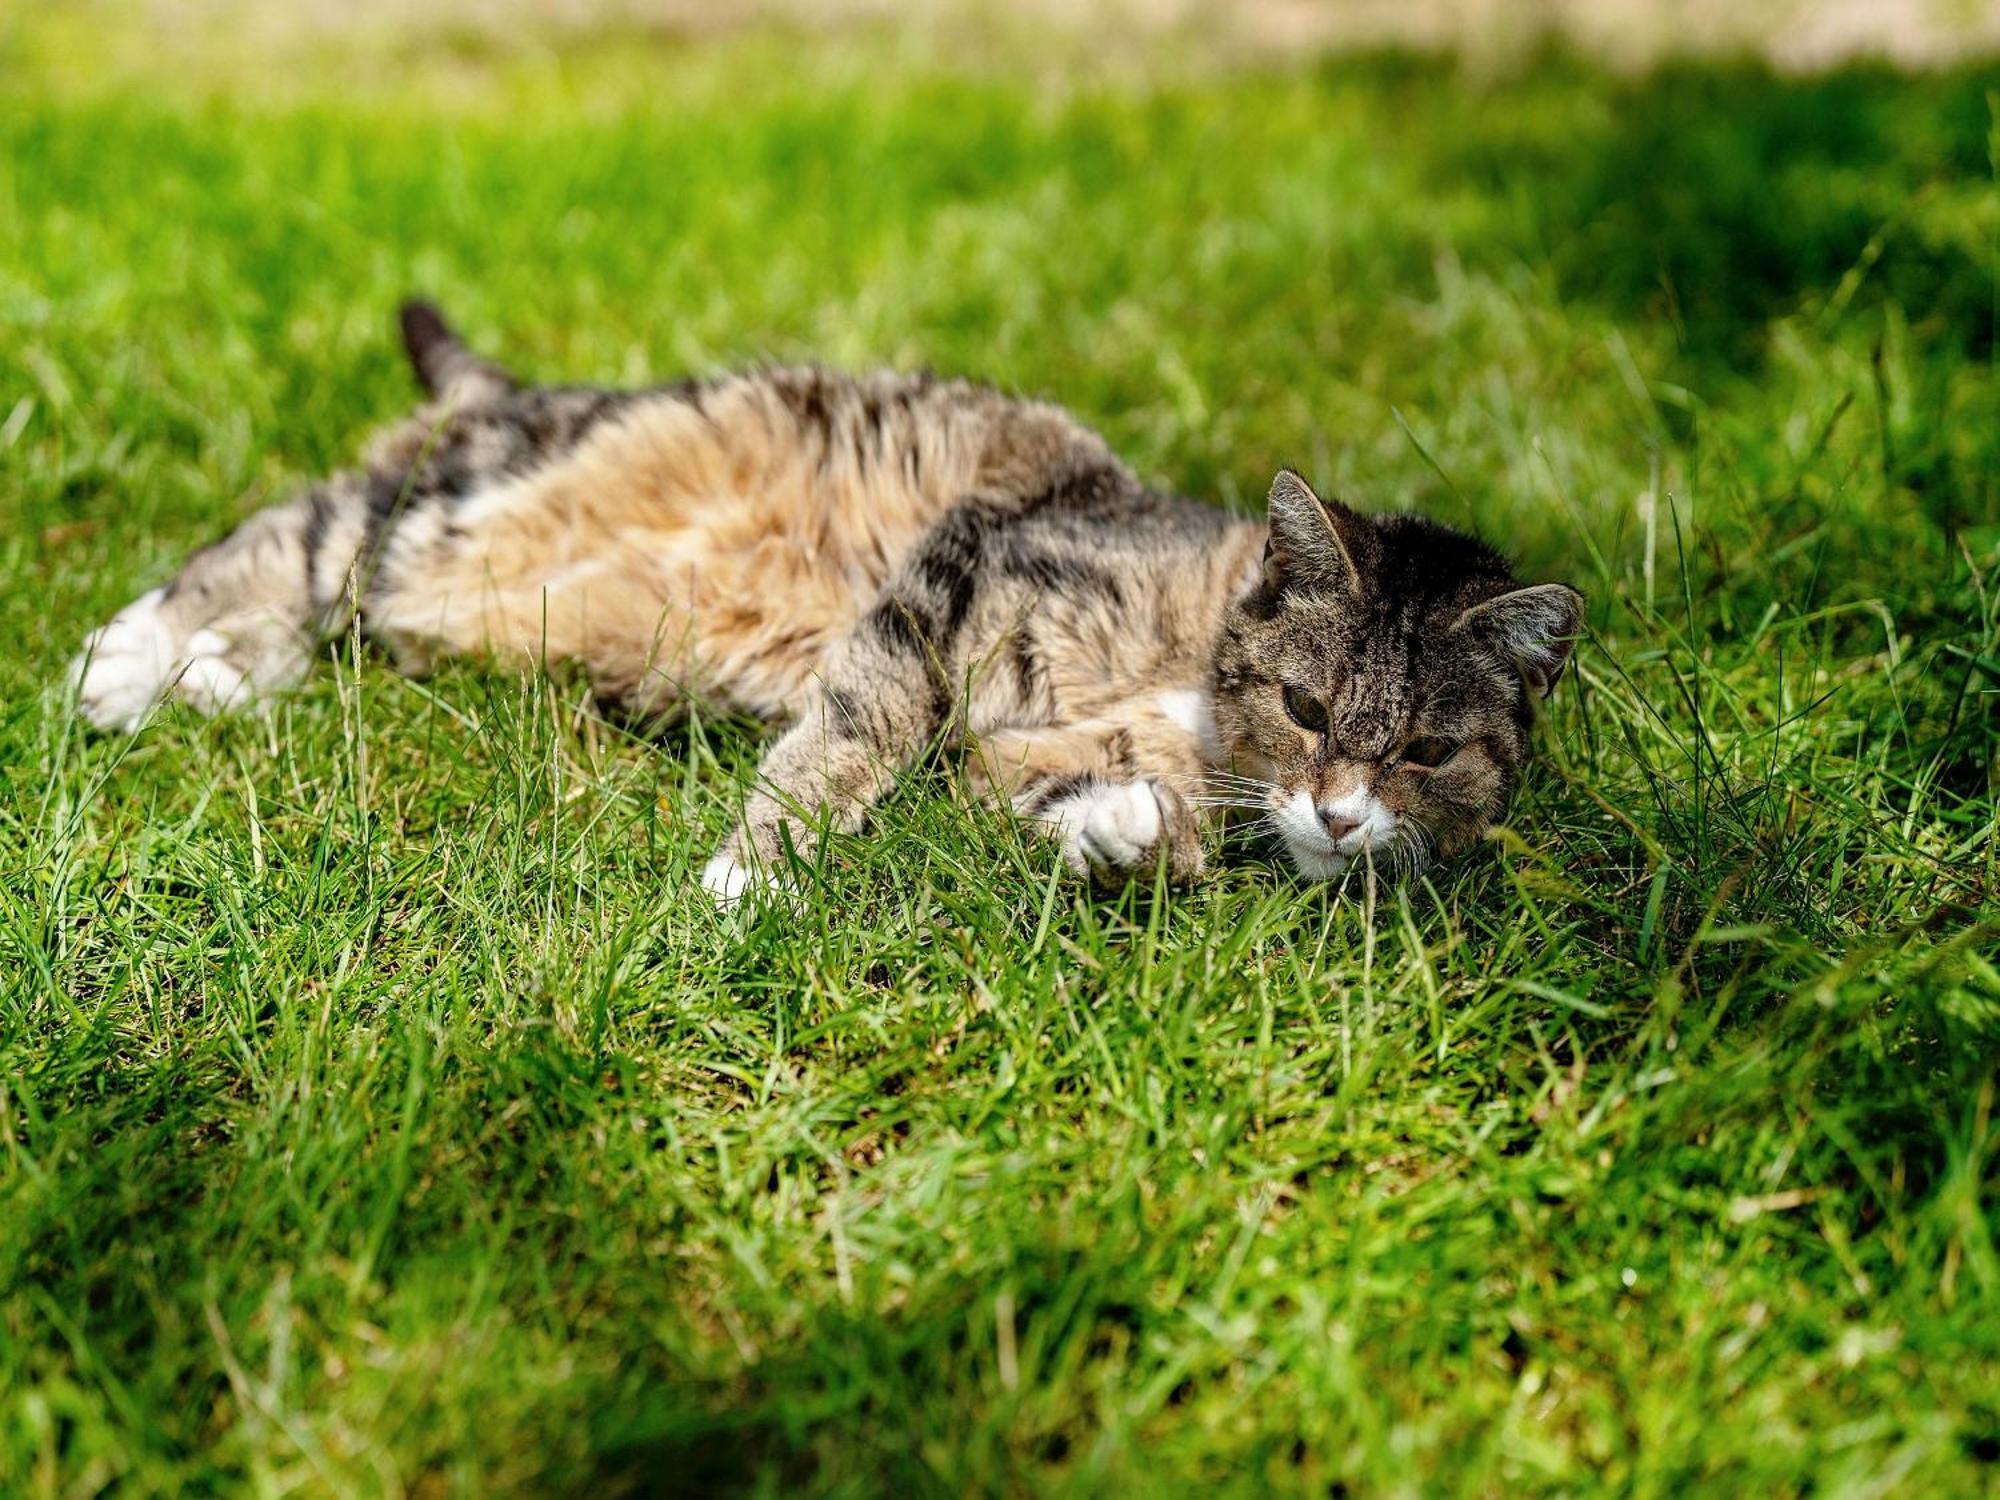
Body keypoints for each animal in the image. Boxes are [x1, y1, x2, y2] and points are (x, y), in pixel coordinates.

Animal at [70, 300, 1584, 900]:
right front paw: (756, 869)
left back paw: (215, 678)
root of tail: (519, 393)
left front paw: (1121, 834)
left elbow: (1111, 816)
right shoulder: (954, 575)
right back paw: (129, 664)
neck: (1199, 682)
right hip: (454, 502)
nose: (1338, 813)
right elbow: (853, 730)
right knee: (297, 534)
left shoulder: (1013, 753)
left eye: (1429, 752)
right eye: (1308, 706)